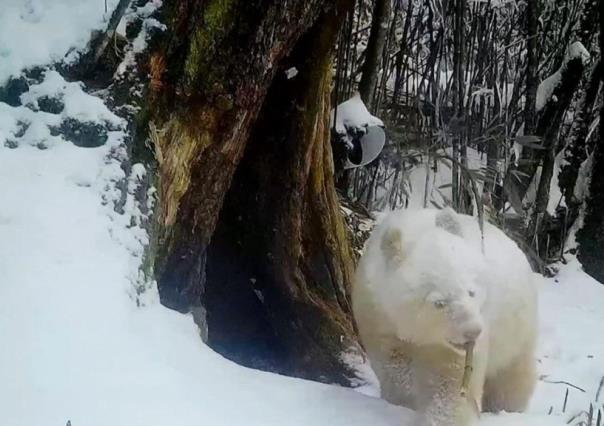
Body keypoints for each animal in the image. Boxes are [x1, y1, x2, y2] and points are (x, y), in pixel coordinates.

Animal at [352, 208, 540, 424]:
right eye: (439, 303)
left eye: (471, 292)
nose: (473, 332)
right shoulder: (378, 314)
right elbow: (393, 365)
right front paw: (403, 400)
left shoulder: (450, 346)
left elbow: (450, 382)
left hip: (516, 328)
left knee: (511, 377)